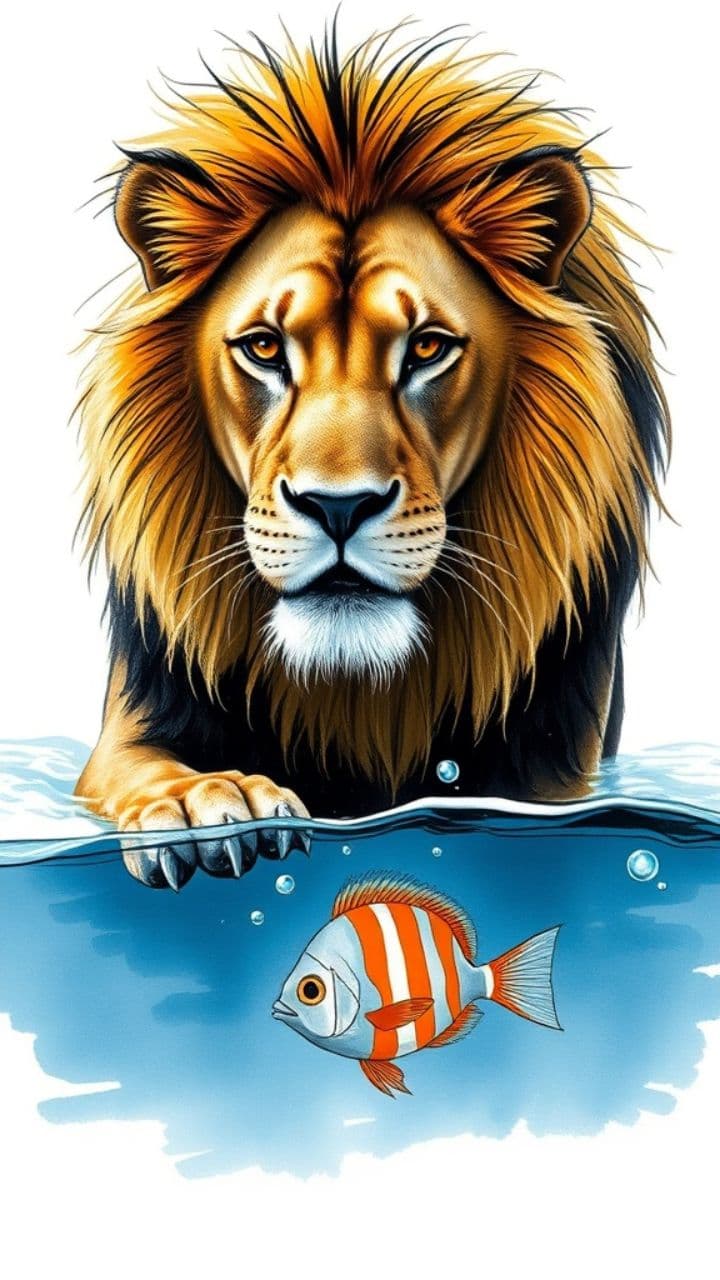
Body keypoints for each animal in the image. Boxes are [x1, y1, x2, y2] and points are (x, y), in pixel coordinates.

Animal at [74, 23, 669, 889]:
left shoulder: (555, 778)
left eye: (427, 347)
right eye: (264, 347)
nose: (339, 507)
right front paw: (207, 806)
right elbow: (146, 770)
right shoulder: (130, 730)